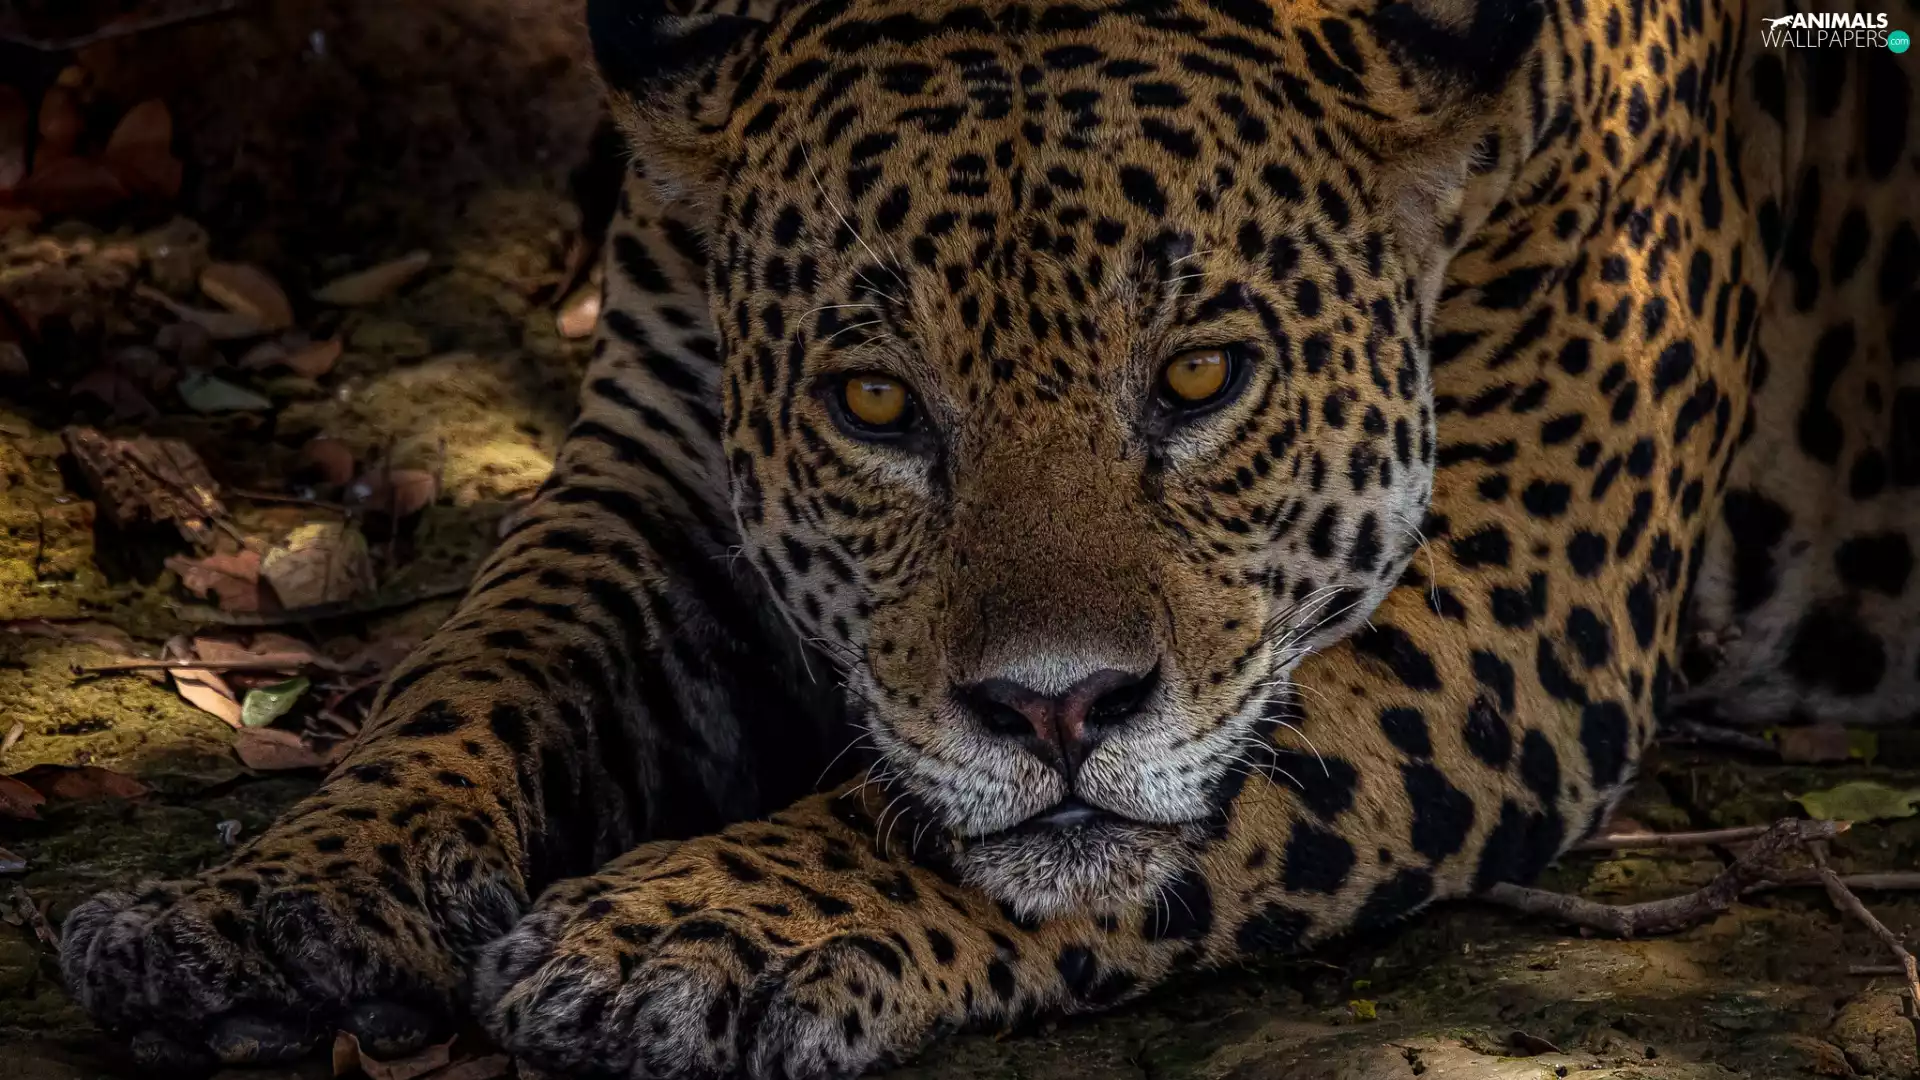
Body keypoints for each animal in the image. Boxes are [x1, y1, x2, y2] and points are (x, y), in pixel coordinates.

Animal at [57, 0, 1920, 1076]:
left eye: (1202, 374)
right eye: (878, 405)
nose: (1055, 710)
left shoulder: (1517, 591)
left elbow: (1073, 814)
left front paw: (704, 928)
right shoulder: (656, 465)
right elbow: (474, 676)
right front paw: (267, 899)